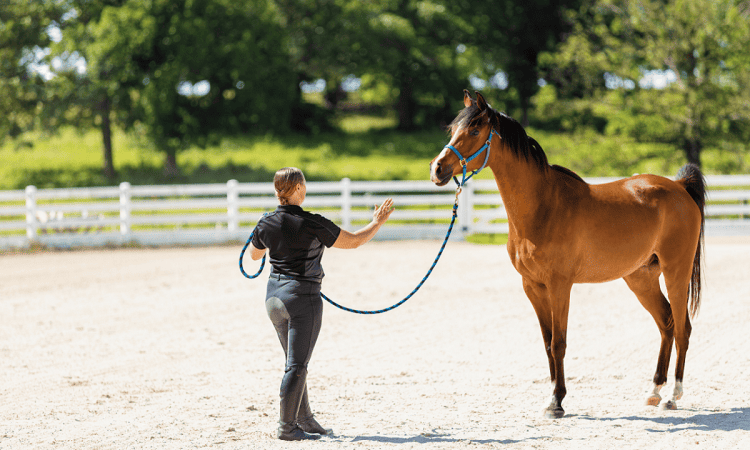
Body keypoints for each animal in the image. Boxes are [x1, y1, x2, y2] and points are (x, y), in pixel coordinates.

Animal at [432, 89, 708, 420]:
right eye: (452, 129)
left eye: (474, 130)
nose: (437, 169)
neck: (543, 206)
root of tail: (679, 187)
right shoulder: (532, 287)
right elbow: (547, 342)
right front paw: (553, 396)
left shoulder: (560, 285)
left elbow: (559, 343)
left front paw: (557, 402)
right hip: (641, 278)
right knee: (666, 323)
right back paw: (654, 392)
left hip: (676, 272)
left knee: (682, 328)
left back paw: (672, 396)